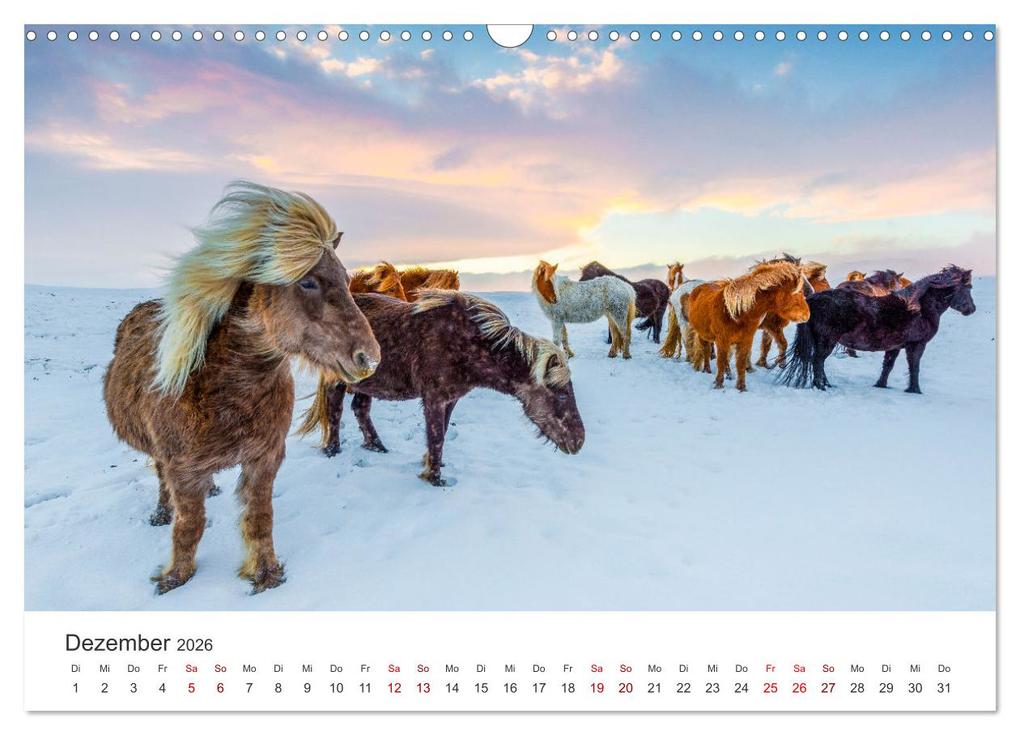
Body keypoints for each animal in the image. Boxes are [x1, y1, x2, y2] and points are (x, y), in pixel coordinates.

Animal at [102, 182, 380, 595]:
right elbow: (189, 526)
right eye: (307, 281)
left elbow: (259, 518)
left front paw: (265, 575)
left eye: (347, 280)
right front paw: (175, 578)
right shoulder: (182, 470)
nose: (369, 358)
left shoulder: (265, 459)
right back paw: (162, 512)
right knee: (161, 479)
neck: (225, 391)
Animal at [299, 291, 585, 486]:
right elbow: (436, 435)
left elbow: (442, 432)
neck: (467, 343)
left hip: (366, 383)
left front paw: (432, 464)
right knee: (335, 411)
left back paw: (377, 446)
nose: (579, 441)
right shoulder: (434, 398)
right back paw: (333, 450)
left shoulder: (451, 399)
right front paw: (434, 478)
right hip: (338, 381)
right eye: (561, 394)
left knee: (360, 409)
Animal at [686, 261, 811, 391]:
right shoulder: (723, 340)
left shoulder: (746, 340)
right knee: (706, 350)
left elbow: (740, 362)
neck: (735, 312)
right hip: (703, 335)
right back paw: (707, 370)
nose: (807, 315)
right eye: (799, 292)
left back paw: (729, 374)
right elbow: (721, 361)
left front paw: (741, 387)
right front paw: (719, 385)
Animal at [778, 265, 975, 393]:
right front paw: (915, 390)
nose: (972, 309)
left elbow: (888, 366)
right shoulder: (916, 345)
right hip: (827, 342)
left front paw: (881, 385)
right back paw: (821, 387)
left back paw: (826, 385)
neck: (919, 308)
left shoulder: (895, 347)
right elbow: (914, 367)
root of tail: (812, 299)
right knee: (817, 362)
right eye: (968, 288)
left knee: (817, 363)